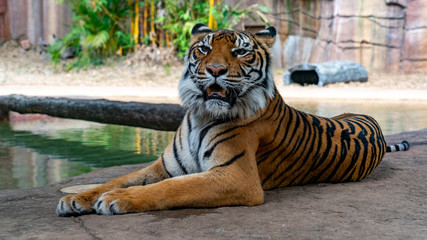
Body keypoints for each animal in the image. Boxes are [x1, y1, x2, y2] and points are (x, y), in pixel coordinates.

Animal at [55, 23, 410, 217]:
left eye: (240, 52)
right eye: (204, 49)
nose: (215, 69)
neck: (200, 114)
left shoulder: (236, 176)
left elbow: (171, 188)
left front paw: (116, 200)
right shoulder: (162, 167)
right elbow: (118, 178)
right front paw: (75, 199)